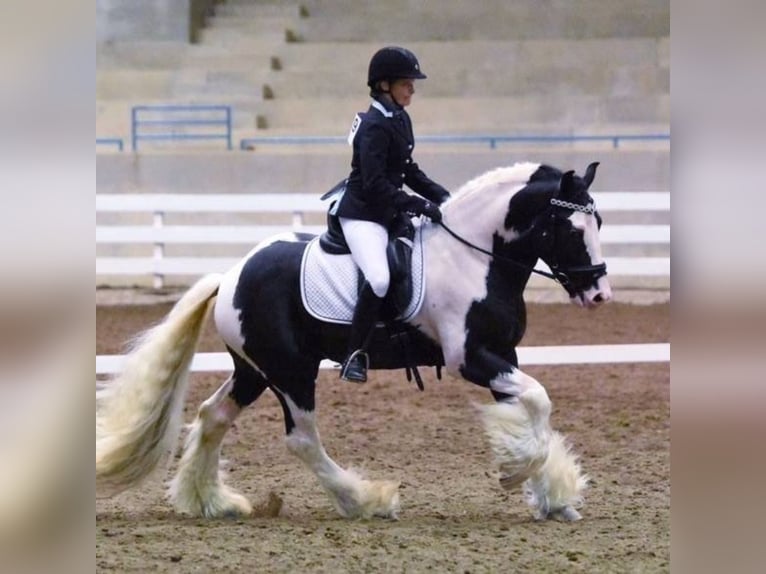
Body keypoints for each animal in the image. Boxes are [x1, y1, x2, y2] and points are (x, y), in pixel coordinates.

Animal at [96, 162, 612, 528]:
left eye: (600, 223)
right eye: (572, 230)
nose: (599, 295)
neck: (473, 258)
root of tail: (230, 276)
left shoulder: (502, 356)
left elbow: (529, 412)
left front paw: (553, 497)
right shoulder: (470, 359)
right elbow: (539, 401)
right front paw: (517, 474)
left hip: (255, 371)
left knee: (213, 416)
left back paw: (214, 504)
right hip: (291, 373)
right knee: (302, 439)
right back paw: (365, 500)